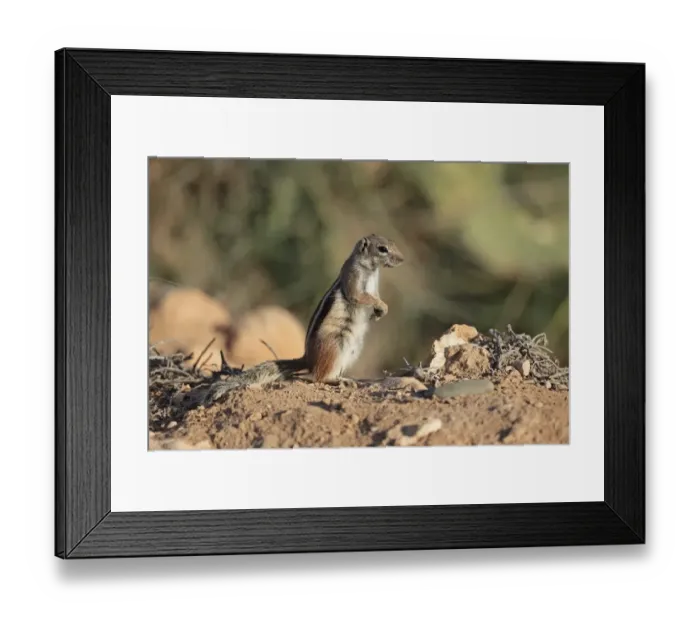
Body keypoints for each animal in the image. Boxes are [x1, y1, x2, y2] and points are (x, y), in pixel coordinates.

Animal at [196, 234, 404, 405]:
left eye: (393, 243)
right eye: (382, 249)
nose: (402, 259)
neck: (371, 270)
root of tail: (308, 358)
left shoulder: (374, 287)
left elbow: (375, 297)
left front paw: (380, 311)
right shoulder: (353, 280)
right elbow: (360, 297)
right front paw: (380, 307)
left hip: (353, 349)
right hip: (335, 345)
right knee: (319, 377)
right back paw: (338, 380)